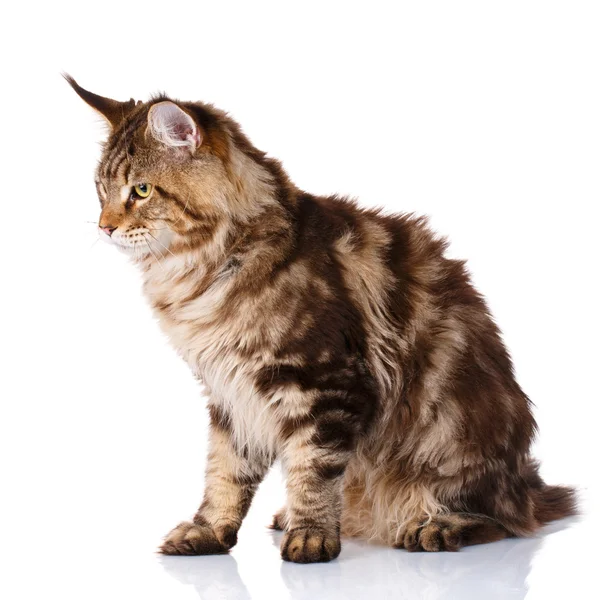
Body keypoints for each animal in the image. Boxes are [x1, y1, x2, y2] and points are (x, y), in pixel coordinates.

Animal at [67, 75, 576, 564]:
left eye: (142, 190)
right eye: (101, 191)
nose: (105, 227)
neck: (207, 270)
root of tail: (524, 482)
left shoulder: (324, 383)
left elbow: (312, 470)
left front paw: (311, 537)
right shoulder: (231, 395)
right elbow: (224, 473)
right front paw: (209, 531)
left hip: (451, 442)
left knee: (499, 520)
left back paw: (432, 526)